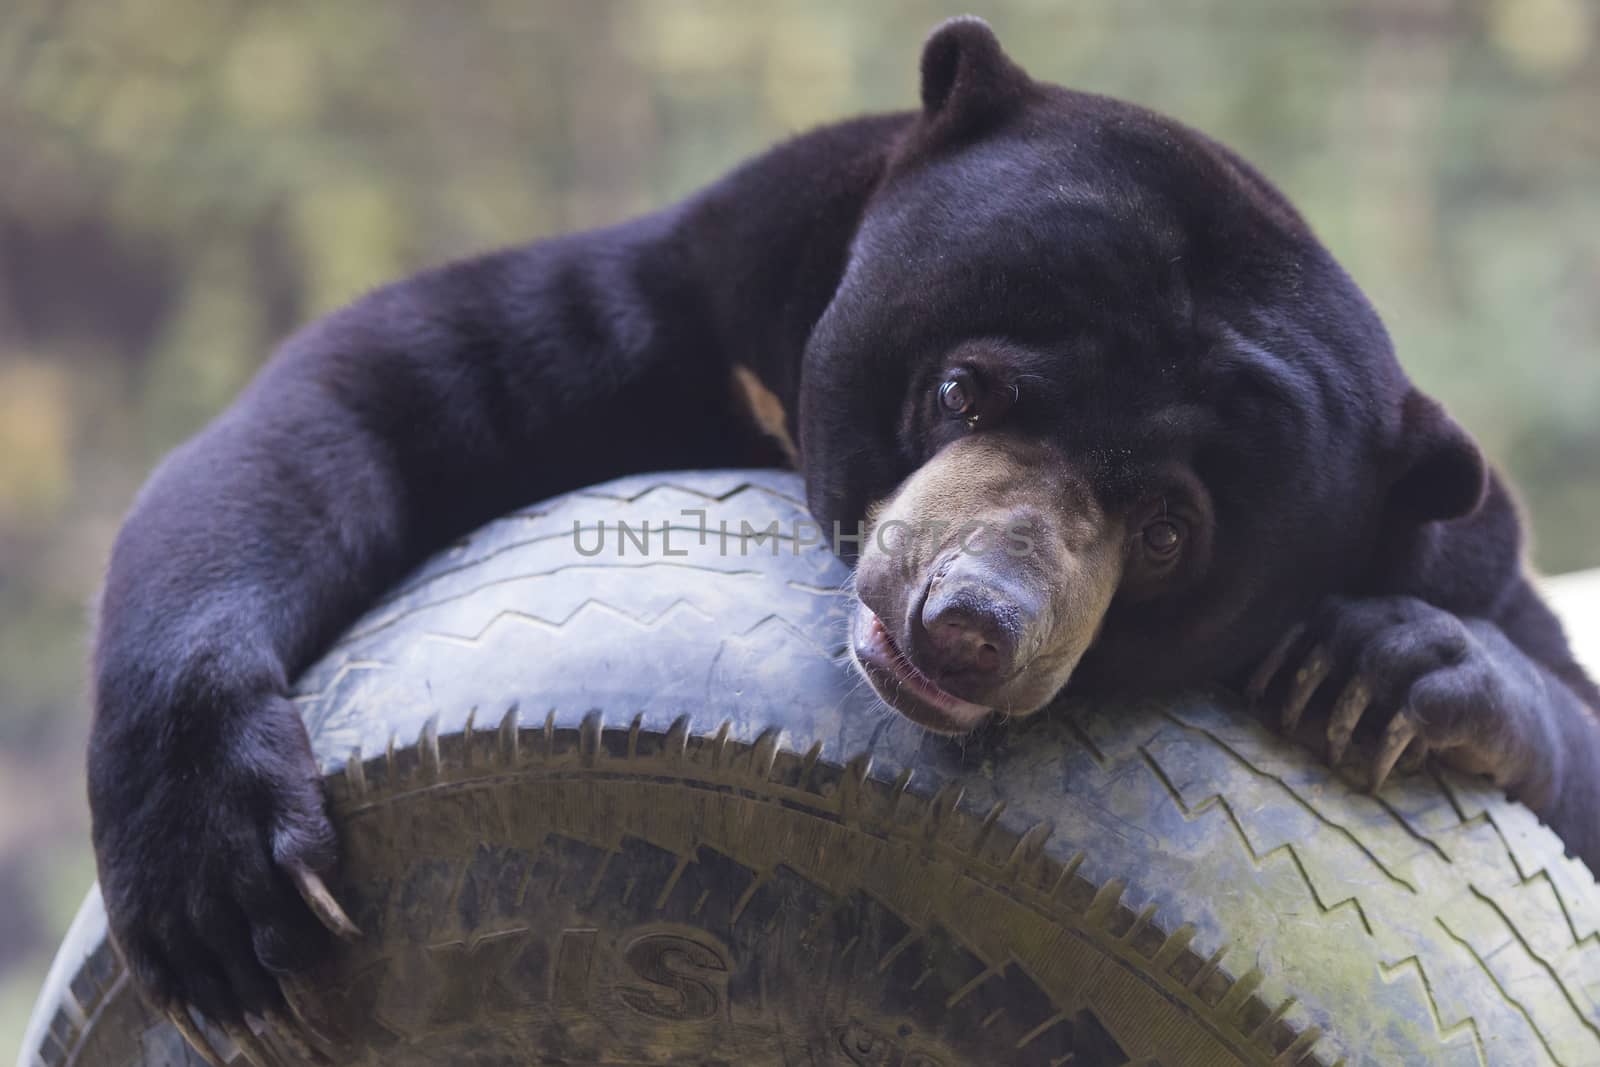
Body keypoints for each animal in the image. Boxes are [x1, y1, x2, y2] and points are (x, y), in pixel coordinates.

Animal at [87, 14, 1600, 1049]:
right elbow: (368, 396)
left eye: (1173, 528)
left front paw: (1390, 670)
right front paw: (218, 893)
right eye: (963, 388)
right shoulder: (686, 302)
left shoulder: (1455, 542)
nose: (973, 621)